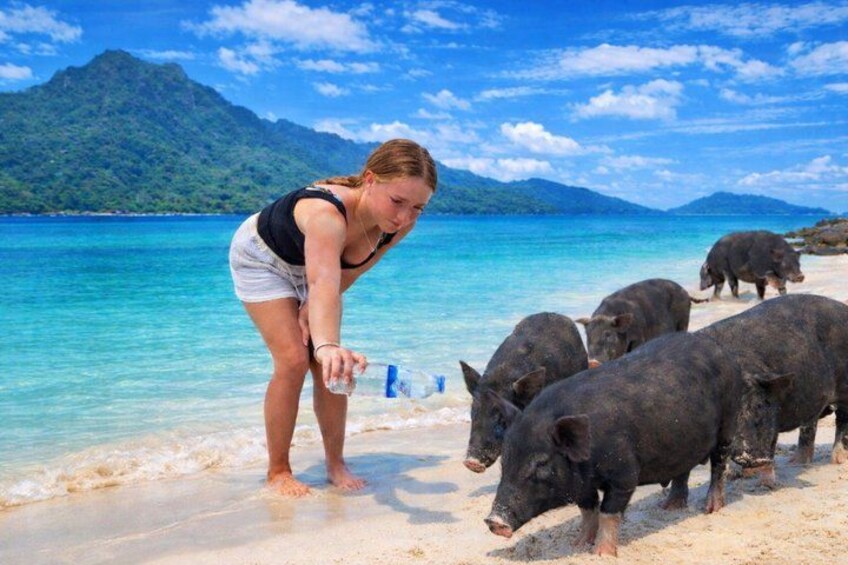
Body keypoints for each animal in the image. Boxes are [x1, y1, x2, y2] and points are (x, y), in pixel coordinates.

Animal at [484, 332, 791, 557]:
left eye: (540, 463)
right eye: (505, 461)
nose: (494, 521)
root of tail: (720, 350)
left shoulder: (624, 473)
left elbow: (608, 512)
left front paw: (602, 555)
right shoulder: (581, 484)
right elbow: (587, 510)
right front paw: (577, 545)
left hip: (728, 421)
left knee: (718, 464)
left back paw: (711, 508)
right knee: (683, 469)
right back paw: (670, 507)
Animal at [698, 294, 848, 481]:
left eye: (762, 405)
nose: (753, 458)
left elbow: (771, 439)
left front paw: (767, 482)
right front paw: (734, 475)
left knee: (842, 420)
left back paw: (837, 460)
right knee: (810, 425)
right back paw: (796, 462)